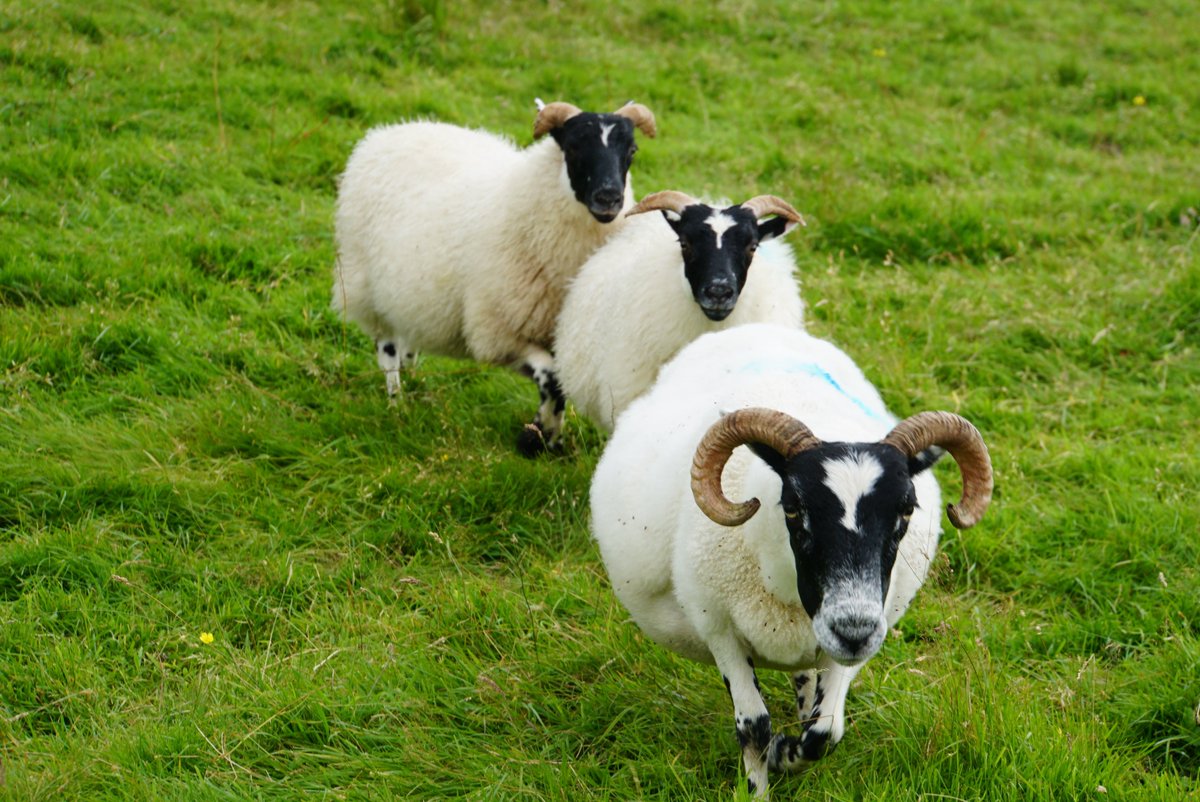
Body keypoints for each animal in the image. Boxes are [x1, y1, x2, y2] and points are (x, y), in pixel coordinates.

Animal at [332, 99, 656, 455]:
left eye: (632, 150)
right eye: (572, 147)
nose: (609, 198)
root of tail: (392, 130)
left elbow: (558, 388)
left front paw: (551, 437)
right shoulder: (498, 334)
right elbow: (551, 379)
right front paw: (541, 433)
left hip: (409, 294)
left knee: (408, 340)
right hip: (366, 286)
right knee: (387, 351)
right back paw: (397, 403)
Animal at [589, 323, 994, 798]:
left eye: (907, 510)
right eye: (793, 508)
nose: (853, 629)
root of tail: (761, 326)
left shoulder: (852, 645)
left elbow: (825, 731)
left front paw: (788, 753)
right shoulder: (719, 628)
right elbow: (754, 727)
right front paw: (760, 784)